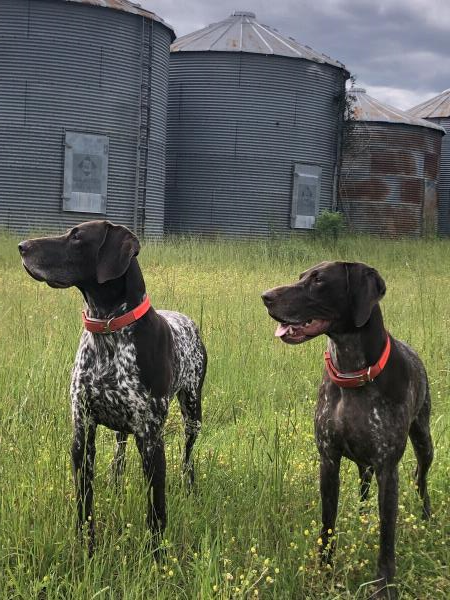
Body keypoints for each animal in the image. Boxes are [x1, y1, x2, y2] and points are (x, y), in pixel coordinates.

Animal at [18, 220, 207, 552]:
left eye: (77, 237)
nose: (22, 246)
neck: (108, 331)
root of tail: (186, 319)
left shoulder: (151, 440)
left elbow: (156, 511)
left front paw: (157, 556)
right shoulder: (82, 434)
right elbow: (85, 505)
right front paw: (86, 548)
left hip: (192, 415)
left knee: (187, 458)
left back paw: (189, 487)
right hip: (124, 430)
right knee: (119, 455)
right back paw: (116, 483)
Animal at [262, 262, 434, 596]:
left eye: (318, 280)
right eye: (302, 276)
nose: (266, 297)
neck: (353, 373)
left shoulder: (387, 469)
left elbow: (387, 536)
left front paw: (385, 586)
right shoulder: (329, 461)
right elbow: (327, 524)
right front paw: (324, 572)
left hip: (424, 440)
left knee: (421, 478)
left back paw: (427, 517)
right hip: (364, 465)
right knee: (364, 490)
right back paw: (361, 517)